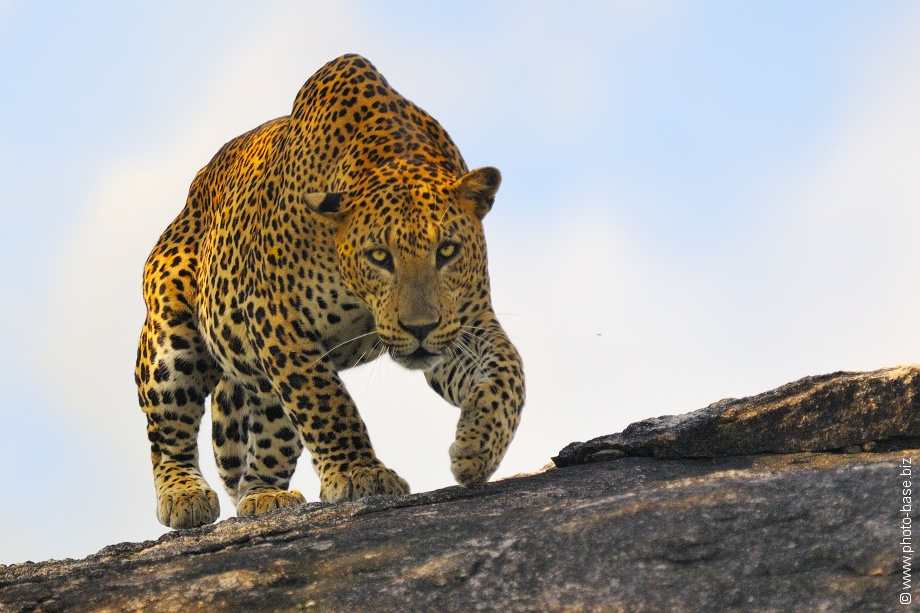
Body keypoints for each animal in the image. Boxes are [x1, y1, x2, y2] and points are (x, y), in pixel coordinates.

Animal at [135, 55, 524, 528]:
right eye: (379, 256)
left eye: (447, 251)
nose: (419, 328)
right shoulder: (278, 320)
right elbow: (327, 403)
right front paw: (360, 473)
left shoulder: (462, 321)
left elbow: (508, 371)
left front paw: (477, 445)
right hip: (171, 338)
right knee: (168, 431)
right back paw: (184, 494)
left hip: (263, 387)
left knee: (269, 437)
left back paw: (265, 496)